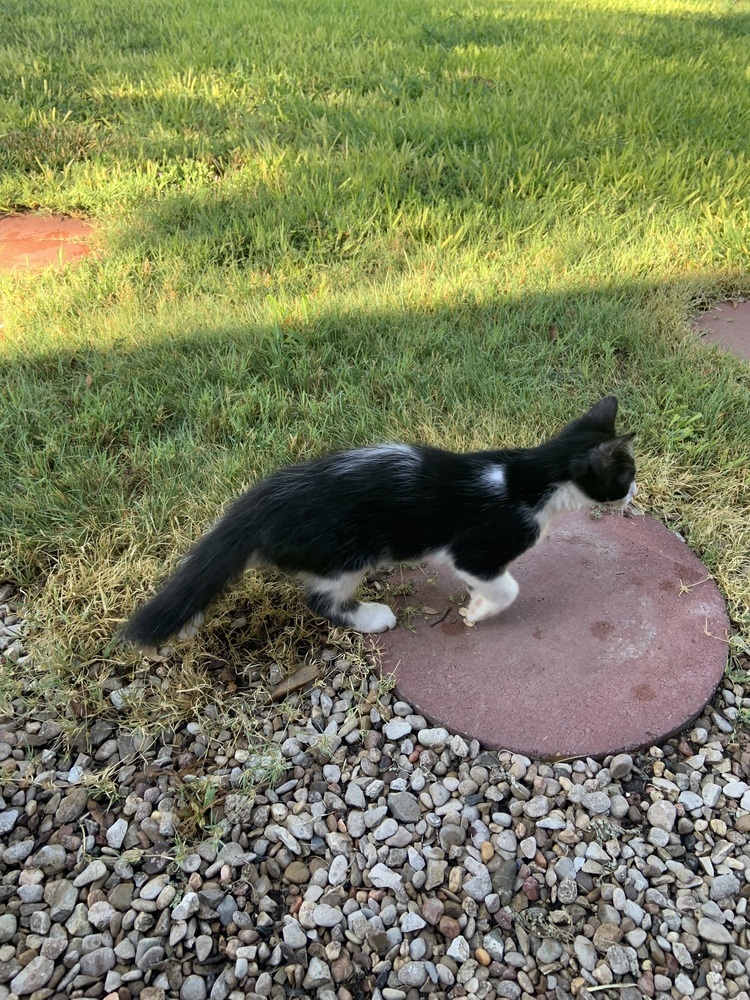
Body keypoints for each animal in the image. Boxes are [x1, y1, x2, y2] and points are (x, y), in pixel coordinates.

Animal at [125, 394, 640, 644]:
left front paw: (474, 601)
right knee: (322, 600)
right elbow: (504, 585)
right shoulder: (482, 544)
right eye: (628, 472)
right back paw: (371, 616)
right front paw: (479, 609)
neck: (531, 476)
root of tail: (258, 503)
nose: (635, 488)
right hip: (344, 552)